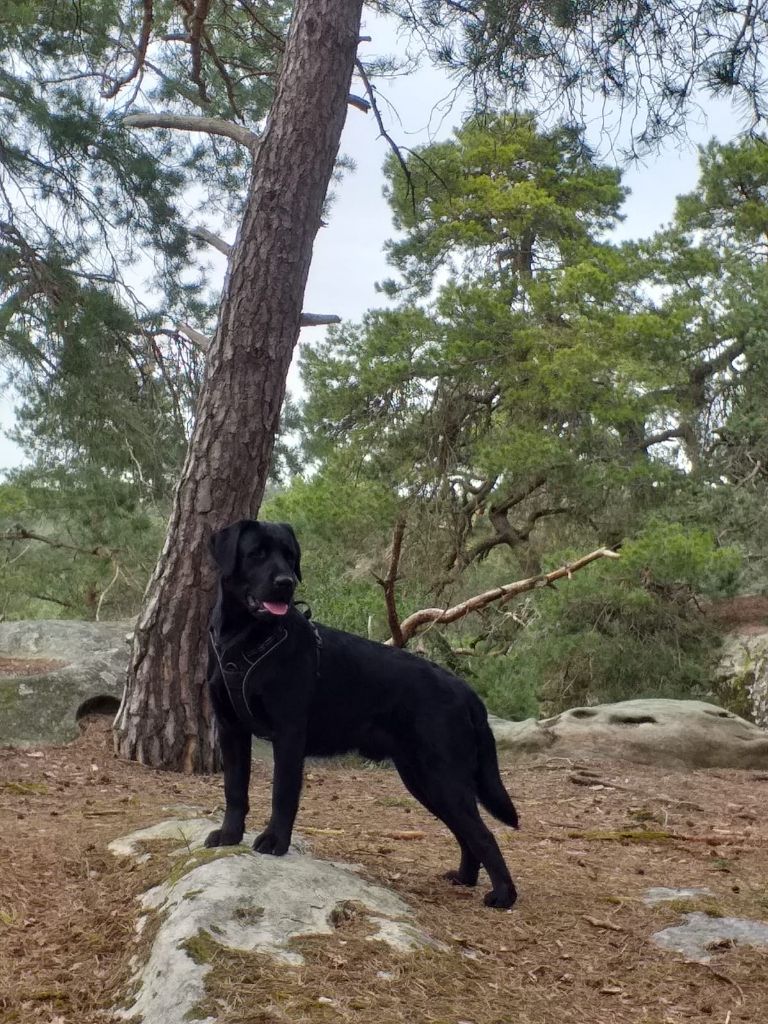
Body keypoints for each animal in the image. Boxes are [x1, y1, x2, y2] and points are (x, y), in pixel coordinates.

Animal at [204, 520, 520, 905]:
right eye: (257, 554)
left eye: (289, 556)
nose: (286, 583)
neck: (246, 641)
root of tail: (467, 692)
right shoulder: (231, 729)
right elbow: (234, 789)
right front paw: (229, 835)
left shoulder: (289, 735)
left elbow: (282, 794)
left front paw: (275, 841)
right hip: (423, 779)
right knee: (466, 832)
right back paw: (464, 877)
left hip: (442, 777)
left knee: (483, 833)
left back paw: (503, 896)